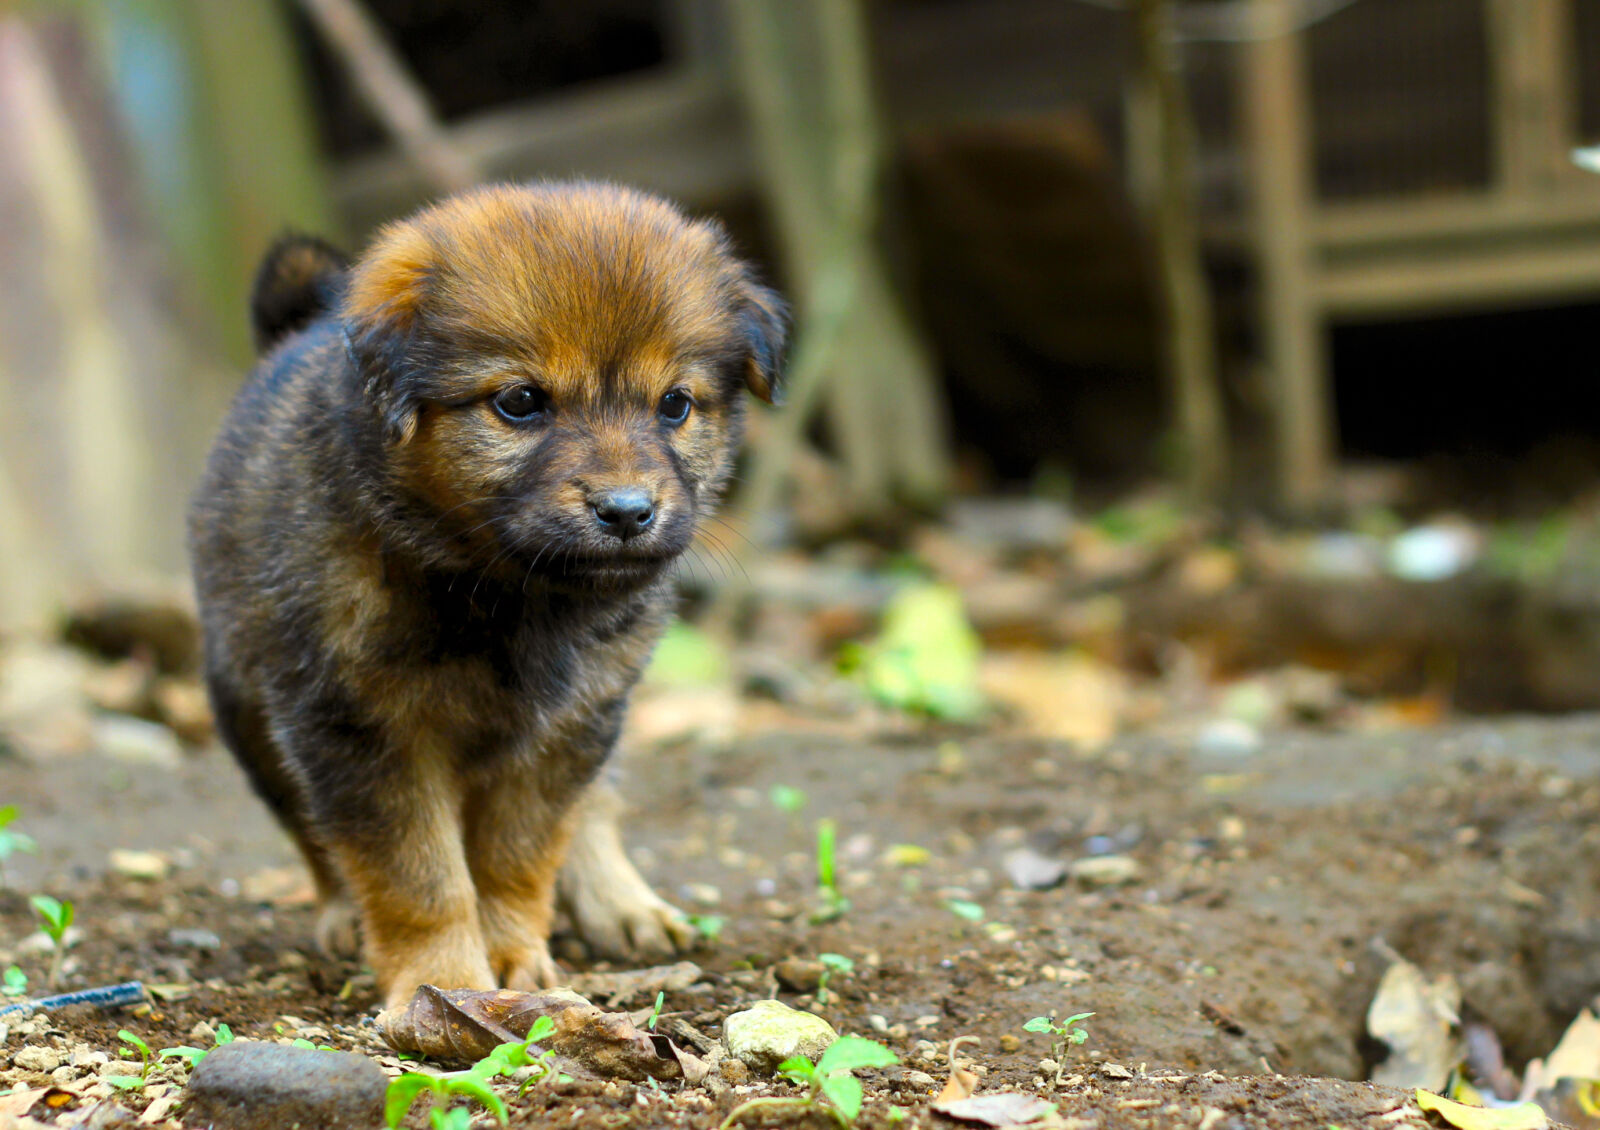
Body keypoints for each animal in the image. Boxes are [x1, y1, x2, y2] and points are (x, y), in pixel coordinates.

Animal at [188, 182, 787, 1005]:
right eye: (521, 402)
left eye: (675, 405)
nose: (628, 512)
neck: (502, 588)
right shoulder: (358, 731)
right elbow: (418, 876)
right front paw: (438, 980)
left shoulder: (564, 726)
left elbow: (520, 854)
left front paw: (511, 957)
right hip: (248, 707)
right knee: (310, 830)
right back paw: (342, 916)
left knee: (592, 806)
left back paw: (620, 902)